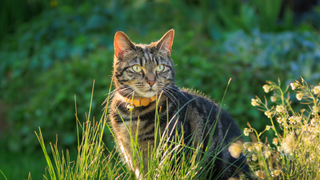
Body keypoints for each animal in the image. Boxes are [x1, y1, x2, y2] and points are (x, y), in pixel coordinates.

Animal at [109, 28, 251, 179]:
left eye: (160, 67)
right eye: (136, 68)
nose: (151, 81)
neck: (136, 113)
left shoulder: (170, 153)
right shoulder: (131, 155)